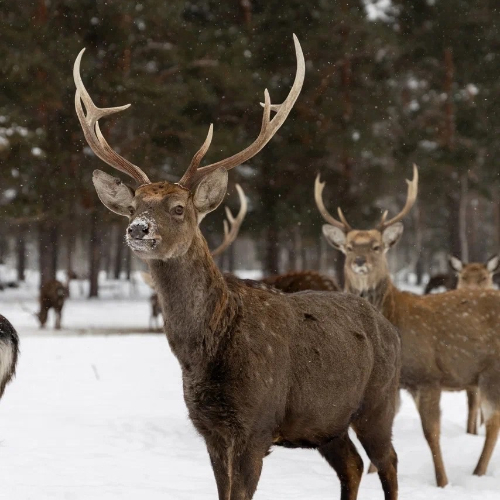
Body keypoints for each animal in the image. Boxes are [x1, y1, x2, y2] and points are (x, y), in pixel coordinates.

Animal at [74, 36, 402, 500]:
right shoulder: (210, 429)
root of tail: (390, 329)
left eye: (178, 208)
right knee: (353, 465)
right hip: (325, 421)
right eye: (134, 206)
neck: (202, 354)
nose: (138, 230)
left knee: (387, 462)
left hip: (379, 402)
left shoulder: (255, 426)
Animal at [316, 166, 500, 486]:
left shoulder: (428, 376)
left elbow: (431, 434)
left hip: (491, 370)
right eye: (348, 247)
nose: (360, 261)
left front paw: (442, 482)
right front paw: (374, 472)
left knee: (492, 422)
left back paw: (478, 471)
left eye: (377, 246)